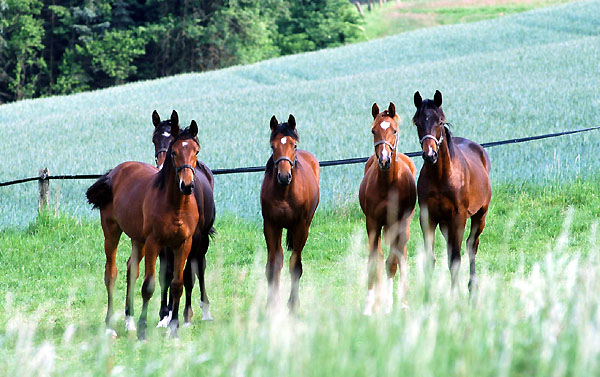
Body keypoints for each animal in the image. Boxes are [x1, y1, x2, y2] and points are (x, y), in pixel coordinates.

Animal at [85, 121, 202, 338]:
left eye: (196, 151)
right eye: (174, 152)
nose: (187, 185)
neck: (176, 205)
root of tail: (115, 172)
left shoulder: (183, 244)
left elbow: (177, 285)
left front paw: (173, 328)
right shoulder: (154, 243)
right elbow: (149, 286)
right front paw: (142, 329)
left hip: (138, 240)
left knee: (131, 269)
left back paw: (129, 321)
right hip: (112, 232)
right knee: (111, 274)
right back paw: (110, 326)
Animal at [151, 110, 217, 324]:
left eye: (196, 151)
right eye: (155, 139)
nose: (186, 184)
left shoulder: (192, 239)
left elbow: (188, 275)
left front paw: (186, 315)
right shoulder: (163, 242)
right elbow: (166, 275)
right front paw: (165, 314)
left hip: (202, 240)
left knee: (199, 268)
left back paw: (204, 310)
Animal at [260, 114, 322, 312]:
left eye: (293, 145)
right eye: (273, 146)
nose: (284, 176)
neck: (285, 193)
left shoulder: (301, 227)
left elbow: (295, 266)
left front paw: (293, 305)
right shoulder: (271, 225)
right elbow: (273, 266)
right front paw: (271, 303)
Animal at [356, 102, 418, 314]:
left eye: (394, 130)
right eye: (373, 130)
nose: (384, 160)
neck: (387, 186)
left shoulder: (399, 223)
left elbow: (392, 263)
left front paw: (390, 305)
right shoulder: (373, 223)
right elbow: (373, 262)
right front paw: (368, 307)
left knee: (401, 256)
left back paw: (403, 302)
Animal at [412, 89, 492, 290]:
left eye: (440, 121)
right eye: (417, 122)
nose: (430, 155)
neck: (441, 177)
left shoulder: (458, 217)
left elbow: (455, 259)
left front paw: (454, 294)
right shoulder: (428, 218)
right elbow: (431, 259)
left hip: (480, 215)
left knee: (471, 245)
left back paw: (472, 286)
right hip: (445, 224)